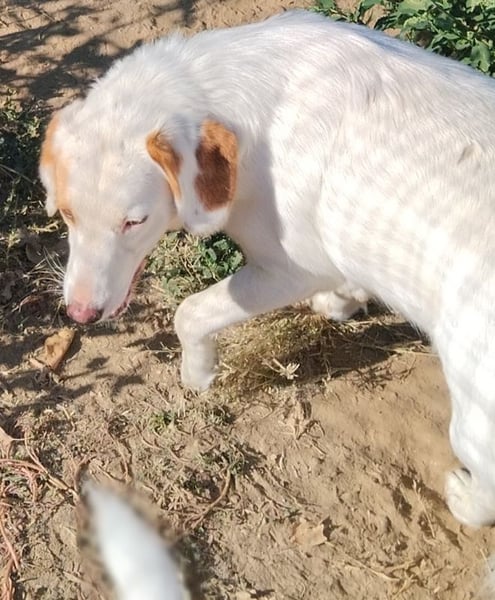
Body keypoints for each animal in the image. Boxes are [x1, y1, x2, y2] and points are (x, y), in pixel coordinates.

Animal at [39, 10, 495, 529]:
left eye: (135, 221)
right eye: (68, 214)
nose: (80, 315)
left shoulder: (290, 270)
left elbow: (190, 312)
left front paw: (198, 374)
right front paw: (345, 299)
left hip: (476, 415)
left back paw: (463, 499)